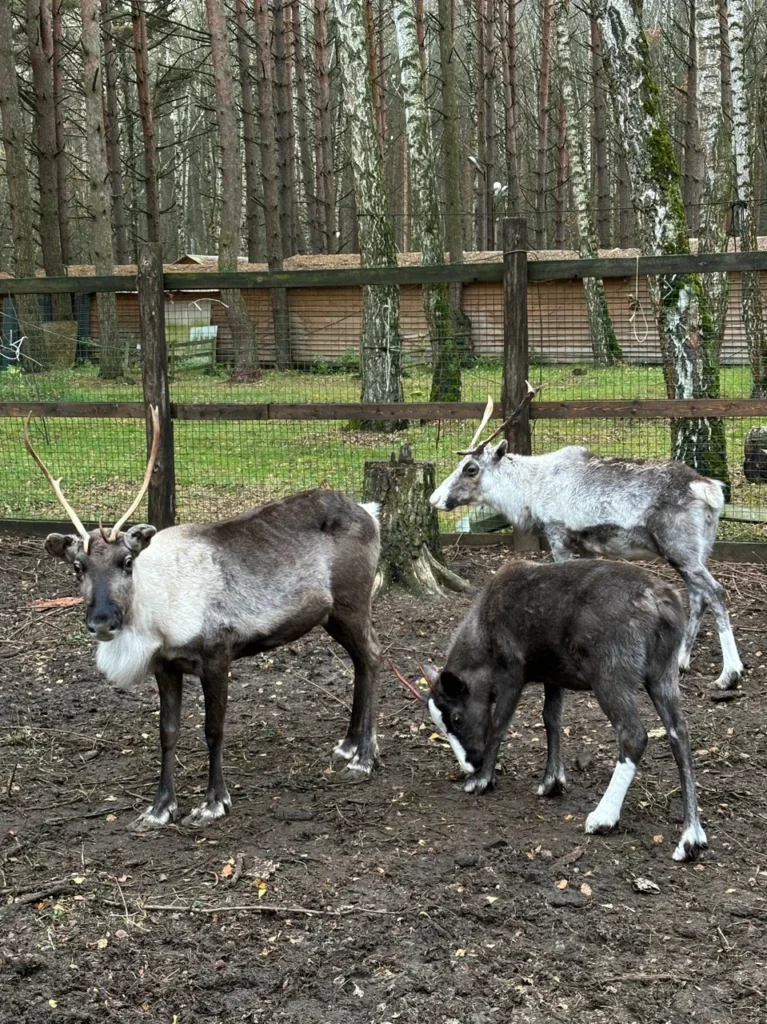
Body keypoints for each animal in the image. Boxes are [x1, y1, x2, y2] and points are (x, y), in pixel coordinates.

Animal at [24, 409, 382, 828]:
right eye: (77, 567)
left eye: (127, 562)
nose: (102, 621)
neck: (156, 612)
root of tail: (370, 512)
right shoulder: (166, 665)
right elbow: (168, 731)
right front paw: (160, 808)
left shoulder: (217, 655)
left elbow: (213, 729)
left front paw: (213, 802)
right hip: (331, 617)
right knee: (360, 661)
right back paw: (348, 745)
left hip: (352, 604)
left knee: (373, 655)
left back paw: (364, 757)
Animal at [394, 558, 708, 862]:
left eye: (457, 718)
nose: (469, 764)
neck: (483, 640)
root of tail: (663, 603)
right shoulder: (554, 677)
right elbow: (551, 719)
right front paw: (552, 781)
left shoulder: (512, 673)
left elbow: (499, 724)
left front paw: (482, 780)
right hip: (662, 674)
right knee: (679, 733)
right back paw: (691, 837)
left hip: (610, 674)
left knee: (634, 733)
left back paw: (604, 816)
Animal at [430, 387, 742, 691]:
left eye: (470, 468)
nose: (435, 498)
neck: (529, 490)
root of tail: (710, 489)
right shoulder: (587, 546)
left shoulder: (557, 533)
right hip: (695, 551)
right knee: (698, 596)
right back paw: (680, 661)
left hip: (681, 549)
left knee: (715, 591)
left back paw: (729, 673)